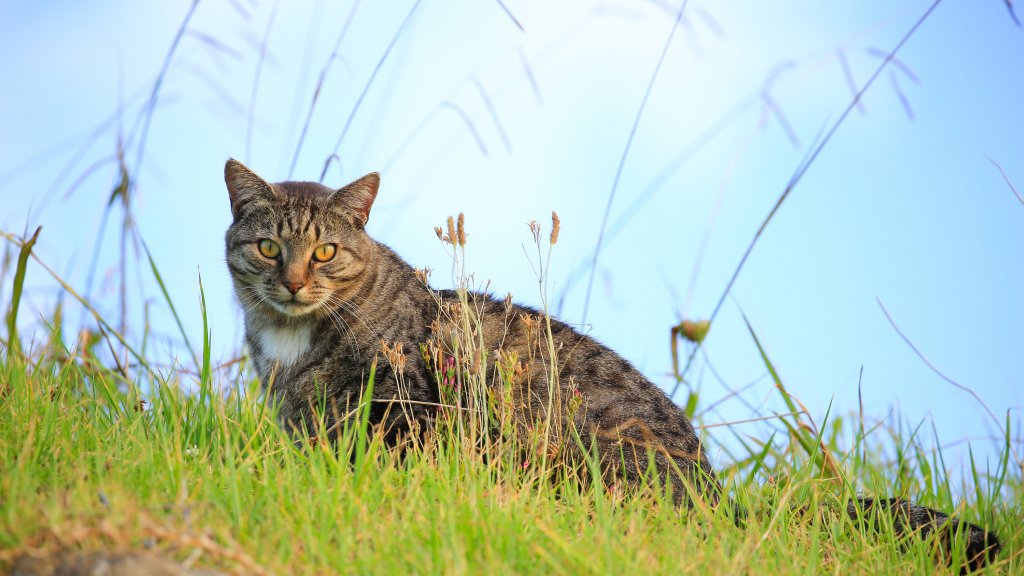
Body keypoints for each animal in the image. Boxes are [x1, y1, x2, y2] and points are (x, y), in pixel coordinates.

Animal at [223, 159, 1001, 571]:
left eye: (325, 251)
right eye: (269, 248)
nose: (293, 281)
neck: (292, 338)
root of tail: (721, 500)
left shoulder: (406, 405)